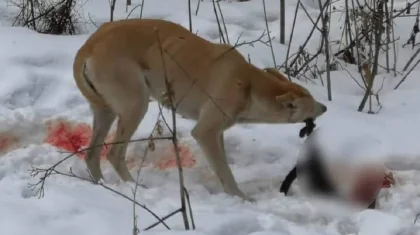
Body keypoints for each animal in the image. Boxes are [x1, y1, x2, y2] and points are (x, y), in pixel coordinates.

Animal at [72, 18, 328, 202]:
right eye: (311, 102)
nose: (325, 107)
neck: (248, 84)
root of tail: (90, 45)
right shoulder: (206, 132)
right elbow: (225, 172)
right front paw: (241, 199)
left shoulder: (218, 132)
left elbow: (221, 167)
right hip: (135, 105)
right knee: (114, 154)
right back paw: (134, 186)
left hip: (105, 111)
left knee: (92, 155)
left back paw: (102, 185)